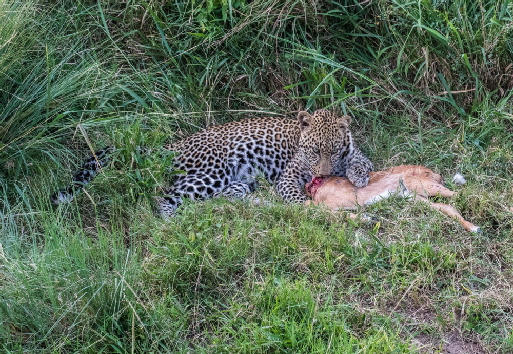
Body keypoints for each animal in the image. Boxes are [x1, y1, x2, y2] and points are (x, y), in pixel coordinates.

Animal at [52, 109, 372, 217]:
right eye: (314, 151)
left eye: (333, 150)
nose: (325, 175)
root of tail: (171, 145)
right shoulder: (288, 175)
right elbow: (293, 194)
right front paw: (305, 208)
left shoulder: (352, 152)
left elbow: (362, 159)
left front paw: (358, 175)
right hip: (213, 171)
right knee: (164, 199)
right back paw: (176, 221)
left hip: (236, 179)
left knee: (224, 196)